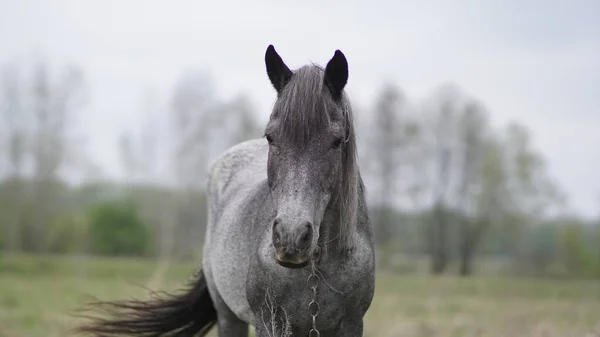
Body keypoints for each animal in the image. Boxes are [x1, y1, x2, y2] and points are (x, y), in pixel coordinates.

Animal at [75, 45, 376, 336]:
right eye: (271, 137)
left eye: (336, 141)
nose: (291, 238)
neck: (316, 270)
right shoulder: (270, 323)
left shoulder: (351, 325)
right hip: (228, 314)